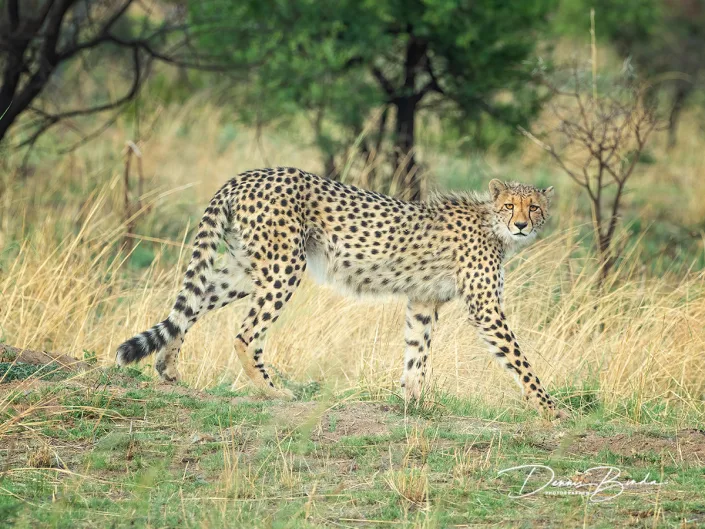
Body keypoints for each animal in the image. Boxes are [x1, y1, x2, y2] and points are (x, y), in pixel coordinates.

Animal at [116, 167, 564, 418]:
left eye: (534, 207)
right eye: (509, 206)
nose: (522, 225)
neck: (492, 226)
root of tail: (249, 174)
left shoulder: (423, 301)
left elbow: (416, 354)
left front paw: (412, 404)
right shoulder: (485, 308)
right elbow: (519, 359)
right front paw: (548, 407)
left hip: (245, 269)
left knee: (192, 303)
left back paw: (168, 366)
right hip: (284, 266)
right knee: (245, 334)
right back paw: (273, 390)